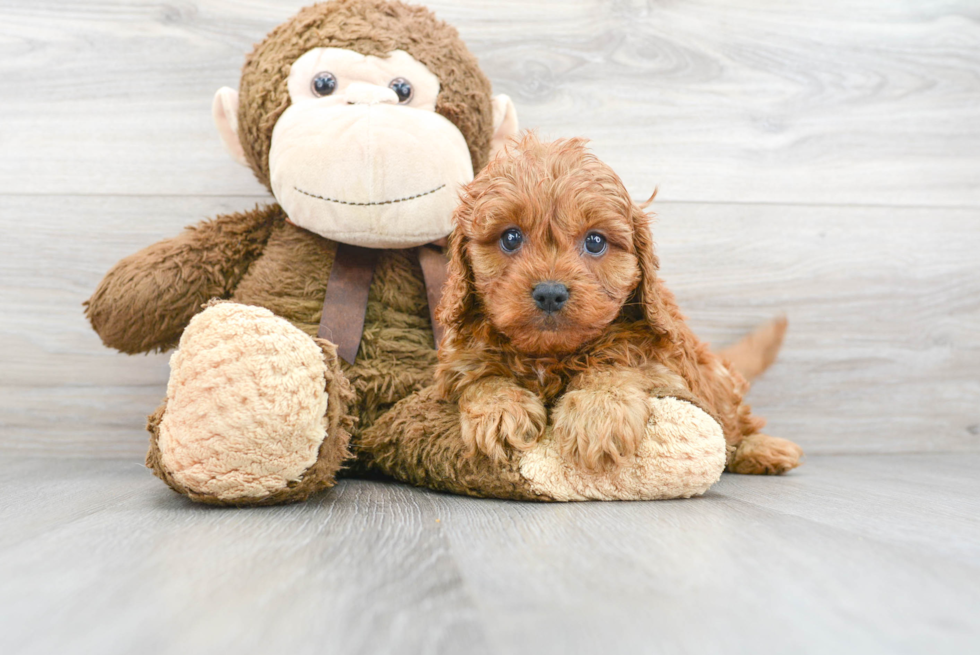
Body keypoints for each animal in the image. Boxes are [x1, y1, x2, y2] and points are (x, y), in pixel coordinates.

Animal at [436, 133, 804, 474]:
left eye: (595, 241)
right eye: (510, 238)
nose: (550, 292)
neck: (550, 356)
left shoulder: (664, 364)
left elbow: (617, 363)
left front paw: (598, 411)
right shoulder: (458, 362)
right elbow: (480, 379)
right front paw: (500, 409)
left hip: (719, 381)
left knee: (735, 419)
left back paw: (761, 449)